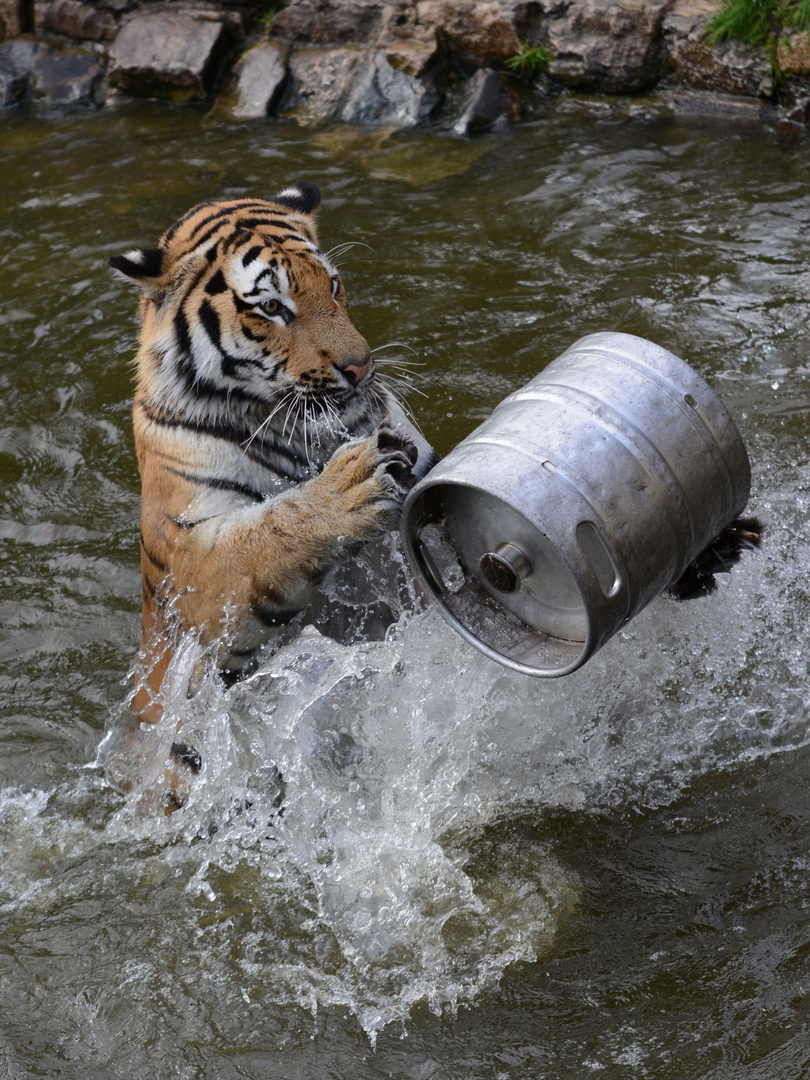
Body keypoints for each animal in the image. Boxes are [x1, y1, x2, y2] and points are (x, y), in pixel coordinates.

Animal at [110, 177, 438, 803]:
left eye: (333, 286)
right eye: (270, 308)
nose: (361, 368)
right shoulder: (195, 565)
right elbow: (265, 536)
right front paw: (352, 485)